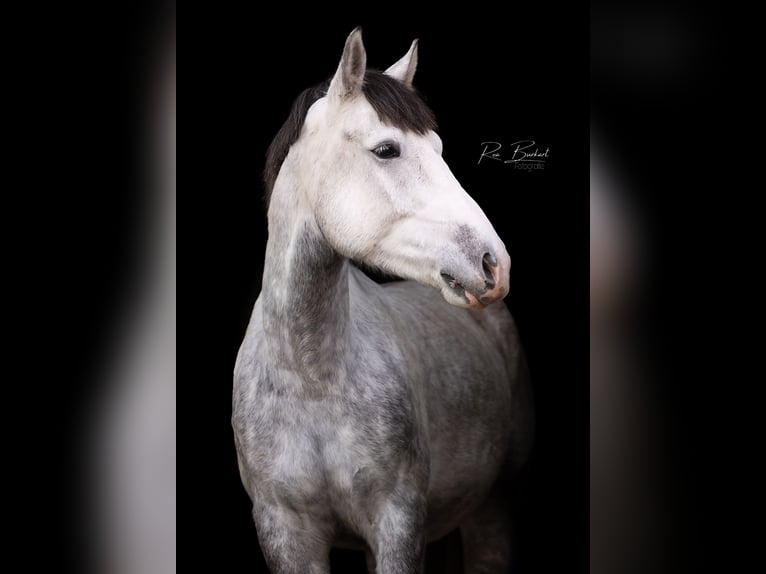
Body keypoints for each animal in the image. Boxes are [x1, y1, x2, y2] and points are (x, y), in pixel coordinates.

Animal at [233, 28, 533, 574]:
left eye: (437, 147)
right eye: (387, 149)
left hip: (494, 513)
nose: (493, 264)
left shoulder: (398, 521)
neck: (311, 378)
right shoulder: (285, 532)